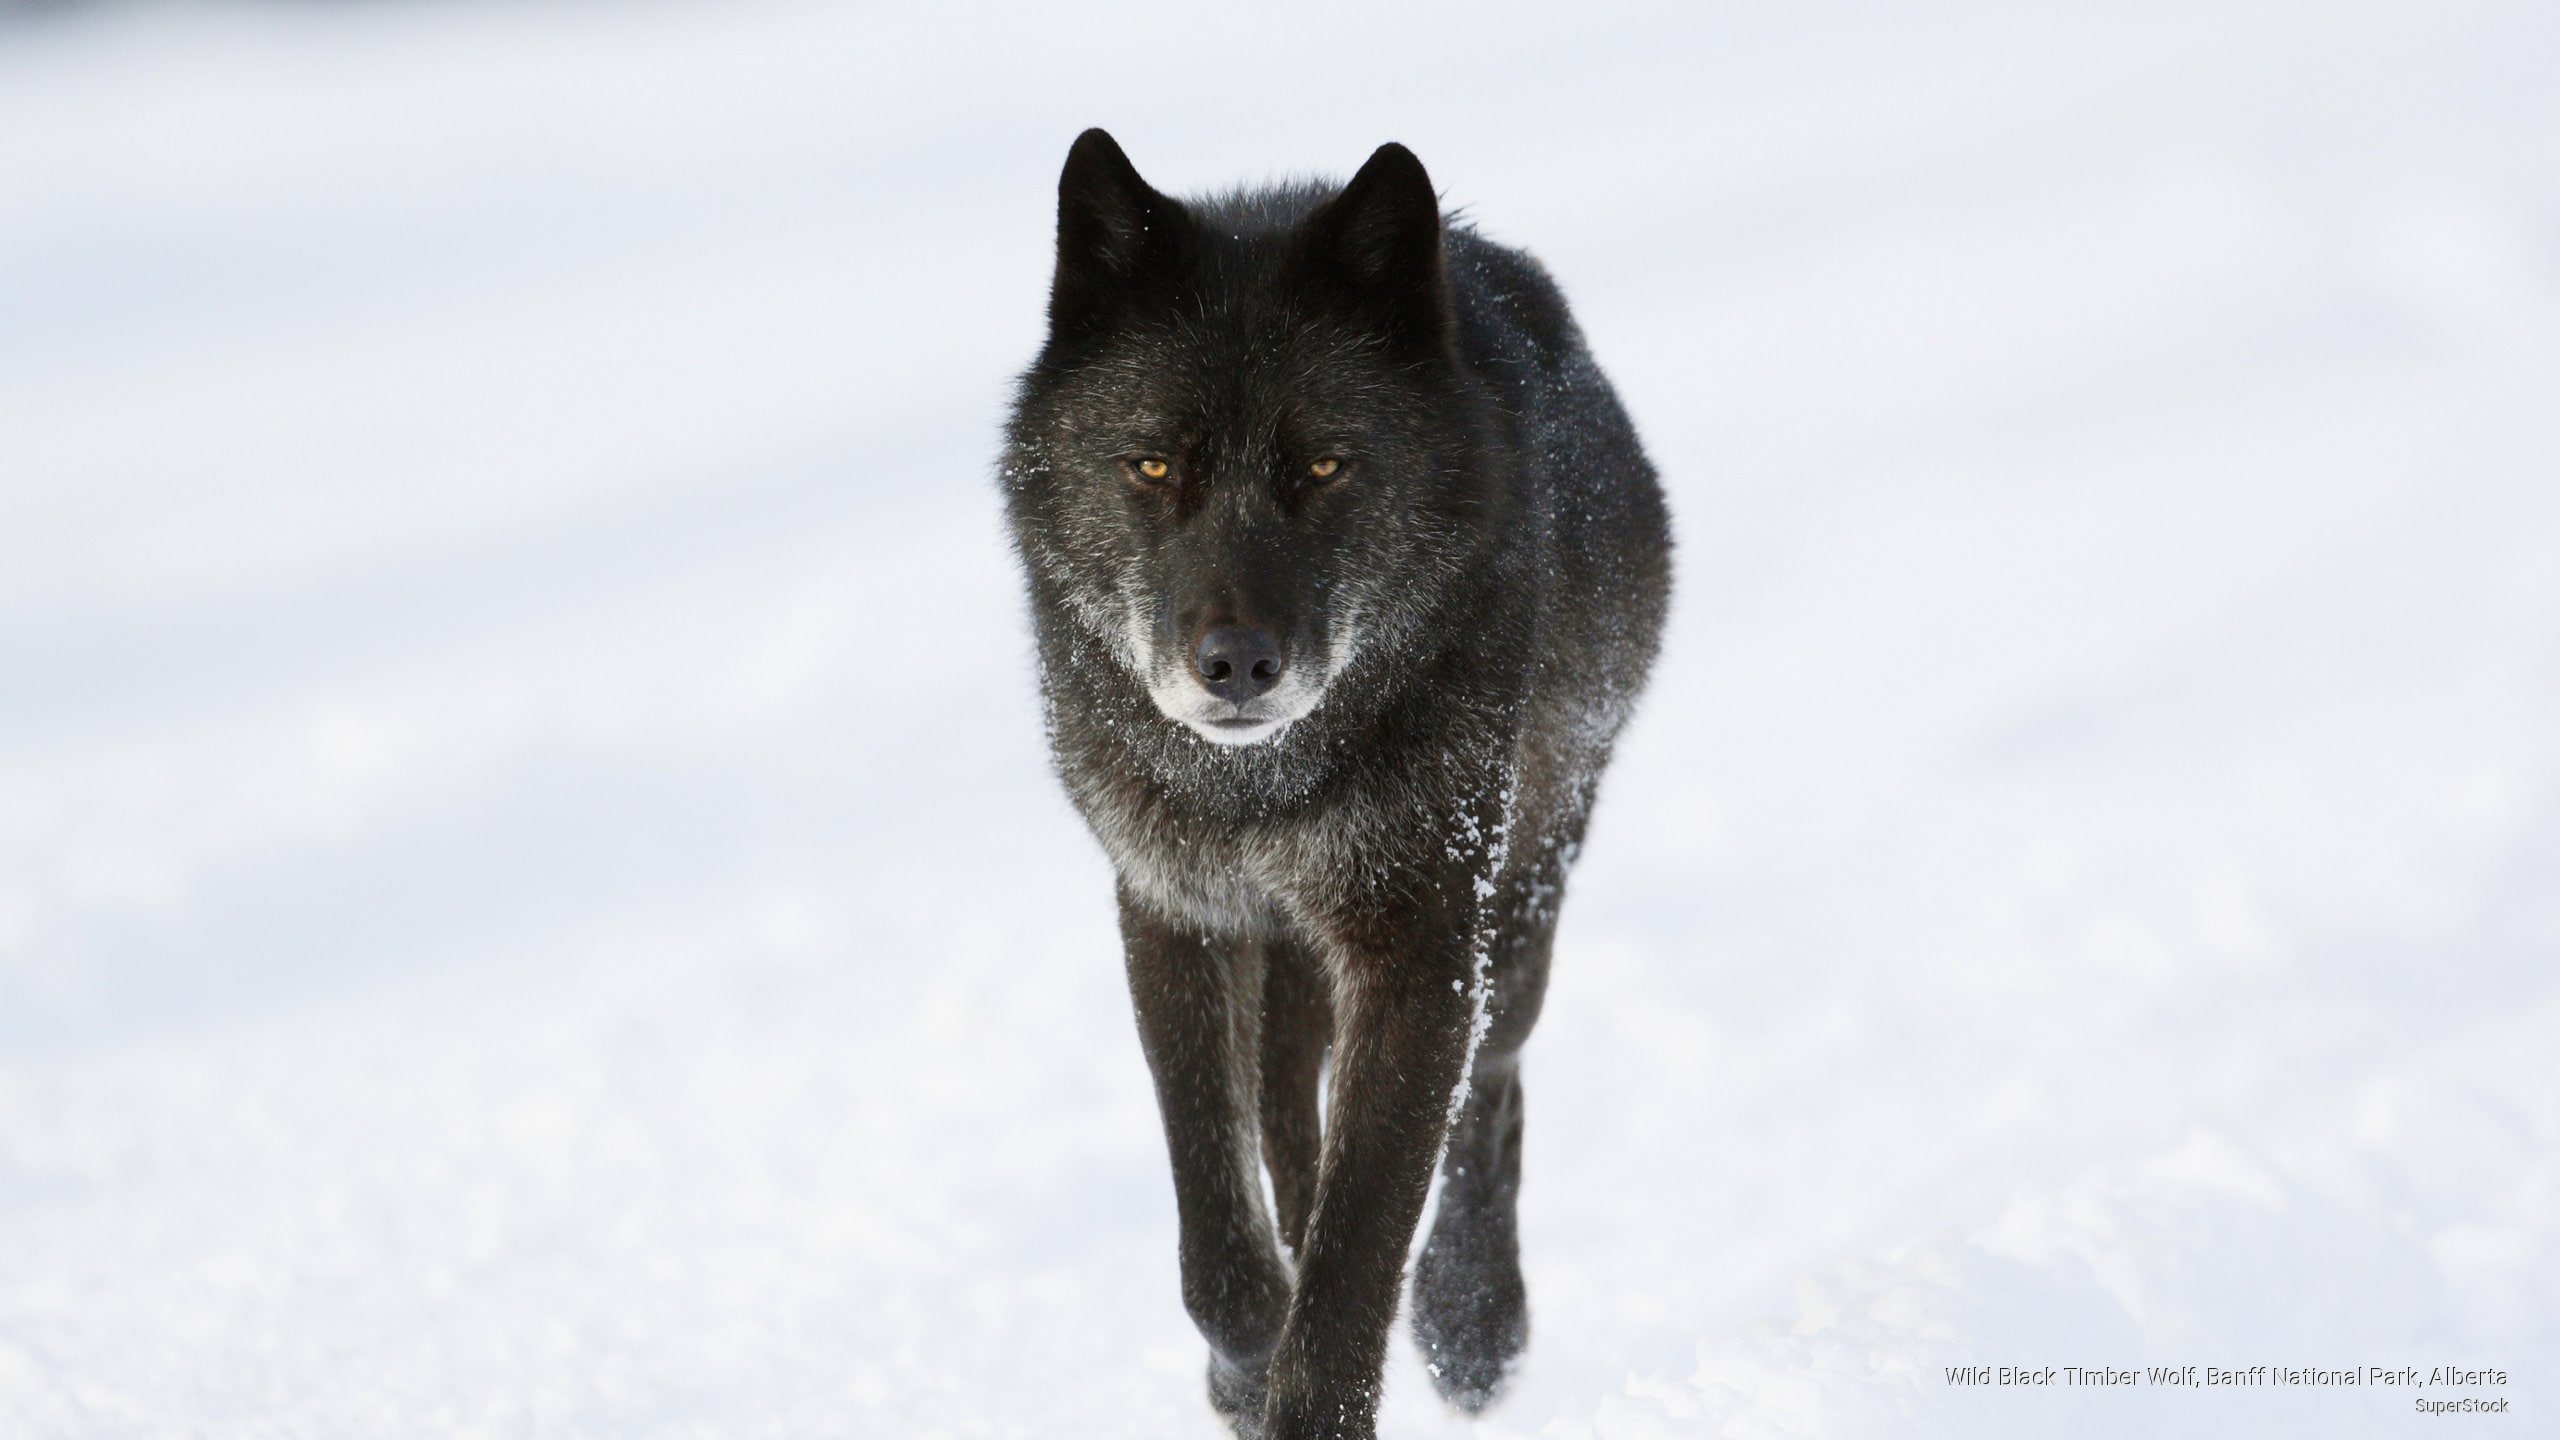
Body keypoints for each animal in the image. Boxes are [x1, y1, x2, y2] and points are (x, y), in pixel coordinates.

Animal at [1000, 129, 1670, 1439]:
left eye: (1322, 464)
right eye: (1151, 463)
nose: (1236, 665)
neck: (1257, 794)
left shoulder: (1419, 942)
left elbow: (1362, 1238)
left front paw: (1323, 1381)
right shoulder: (1177, 910)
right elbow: (1219, 1225)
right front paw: (1245, 1362)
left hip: (1520, 895)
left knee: (1488, 1088)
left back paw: (1471, 1322)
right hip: (1297, 955)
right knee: (1285, 1111)